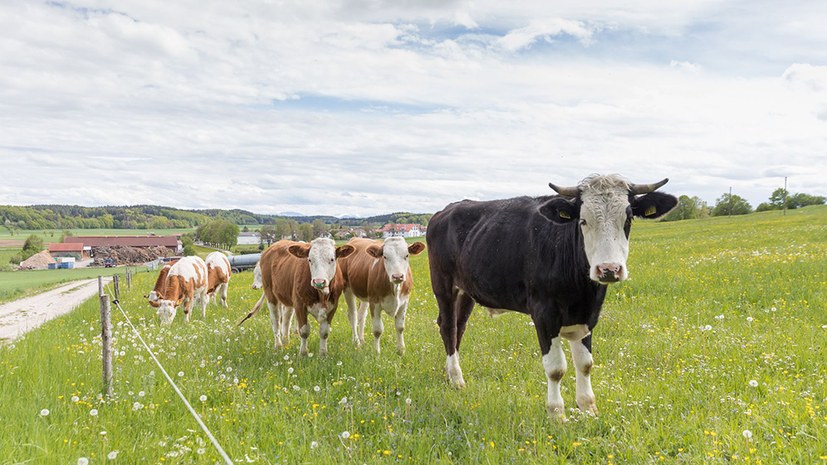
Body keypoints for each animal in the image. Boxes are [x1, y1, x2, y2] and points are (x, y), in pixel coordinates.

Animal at [426, 173, 680, 416]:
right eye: (583, 221)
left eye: (627, 219)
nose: (609, 269)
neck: (582, 292)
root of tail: (445, 210)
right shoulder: (543, 314)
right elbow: (556, 368)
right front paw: (557, 413)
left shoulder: (587, 315)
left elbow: (585, 363)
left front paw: (587, 407)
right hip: (443, 284)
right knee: (448, 326)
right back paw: (456, 379)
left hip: (466, 291)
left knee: (458, 327)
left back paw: (450, 374)